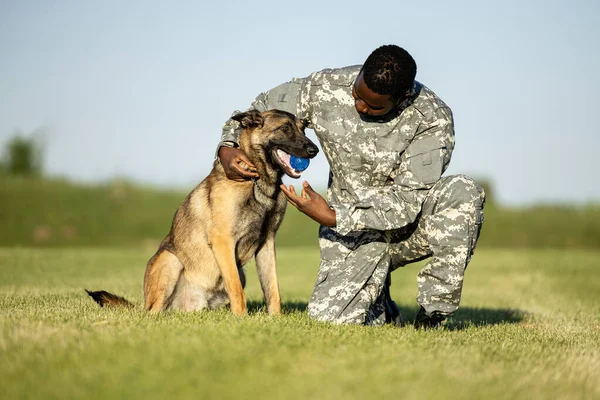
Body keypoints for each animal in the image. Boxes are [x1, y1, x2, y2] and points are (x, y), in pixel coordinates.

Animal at [85, 109, 318, 316]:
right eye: (285, 128)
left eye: (303, 128)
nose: (314, 151)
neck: (259, 183)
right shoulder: (223, 241)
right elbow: (237, 290)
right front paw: (241, 320)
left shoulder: (267, 243)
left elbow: (273, 289)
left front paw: (275, 319)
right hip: (171, 261)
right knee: (153, 312)